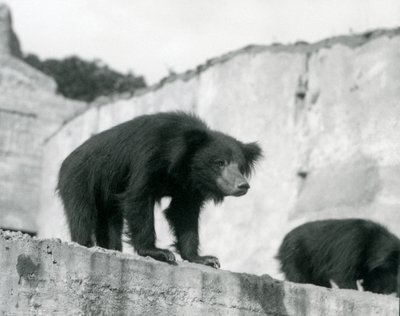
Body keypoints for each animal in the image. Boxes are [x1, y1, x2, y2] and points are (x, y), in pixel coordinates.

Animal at [57, 110, 262, 266]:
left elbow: (184, 213)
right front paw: (159, 252)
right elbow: (138, 197)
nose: (243, 185)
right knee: (82, 215)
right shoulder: (148, 156)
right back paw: (85, 244)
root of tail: (66, 161)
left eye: (240, 166)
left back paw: (111, 248)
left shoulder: (188, 186)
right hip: (80, 179)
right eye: (220, 163)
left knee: (110, 223)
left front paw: (204, 259)